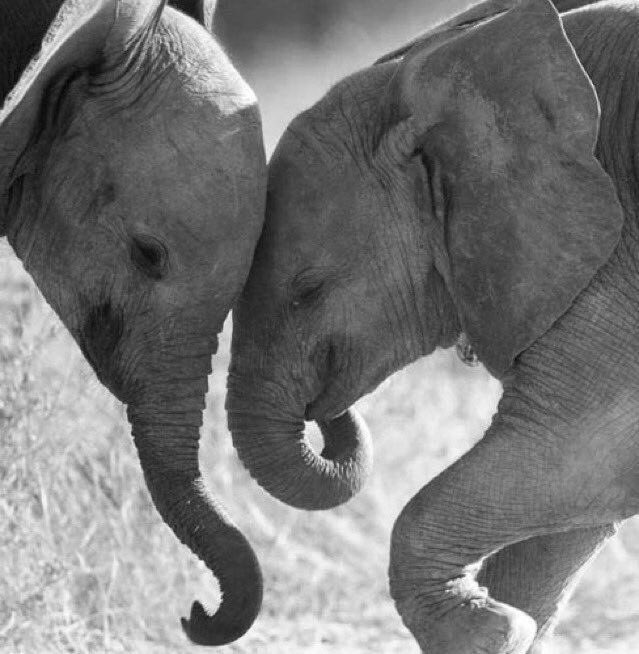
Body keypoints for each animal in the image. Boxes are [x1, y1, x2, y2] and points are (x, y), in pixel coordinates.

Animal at [226, 0, 639, 651]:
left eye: (308, 290)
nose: (325, 411)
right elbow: (568, 520)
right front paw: (506, 623)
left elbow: (587, 451)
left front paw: (489, 627)